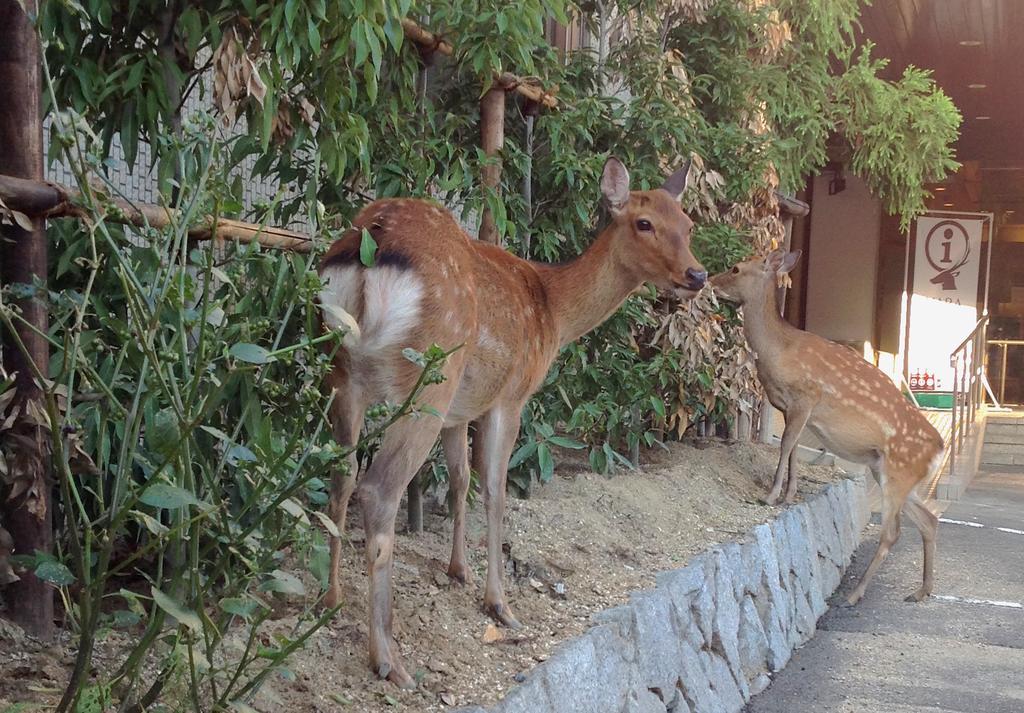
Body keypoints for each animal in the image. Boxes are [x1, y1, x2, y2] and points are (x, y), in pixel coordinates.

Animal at [315, 157, 708, 684]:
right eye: (644, 223)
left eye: (687, 224)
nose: (696, 274)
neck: (554, 312)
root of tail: (366, 248)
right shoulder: (511, 395)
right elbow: (496, 490)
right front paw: (499, 604)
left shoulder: (461, 409)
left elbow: (460, 480)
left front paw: (458, 571)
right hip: (429, 375)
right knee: (378, 489)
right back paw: (389, 660)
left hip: (344, 372)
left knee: (340, 476)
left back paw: (330, 599)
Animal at [712, 247, 942, 602]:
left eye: (735, 268)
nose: (708, 280)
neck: (778, 350)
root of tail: (940, 449)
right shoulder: (791, 407)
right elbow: (791, 448)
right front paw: (788, 495)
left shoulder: (807, 396)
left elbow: (785, 445)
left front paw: (770, 496)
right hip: (890, 472)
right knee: (929, 519)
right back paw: (921, 591)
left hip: (899, 472)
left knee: (893, 532)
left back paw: (855, 593)